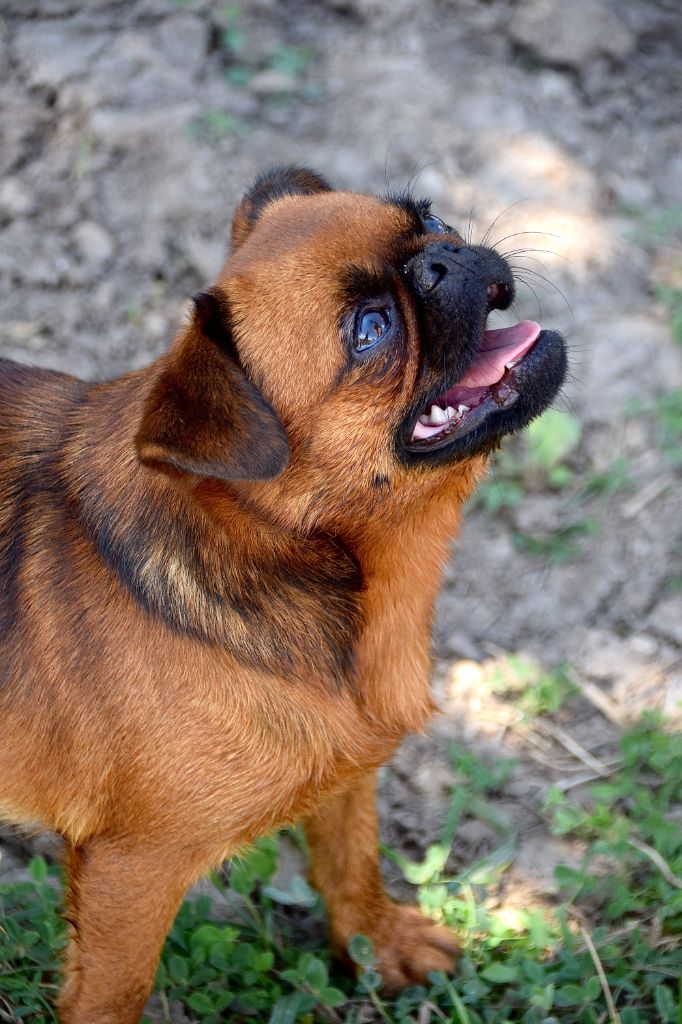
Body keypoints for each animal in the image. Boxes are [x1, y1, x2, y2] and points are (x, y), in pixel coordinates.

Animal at [0, 163, 561, 1019]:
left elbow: (349, 858)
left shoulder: (348, 764)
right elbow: (115, 993)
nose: (444, 260)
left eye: (430, 218)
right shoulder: (131, 871)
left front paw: (377, 943)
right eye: (370, 330)